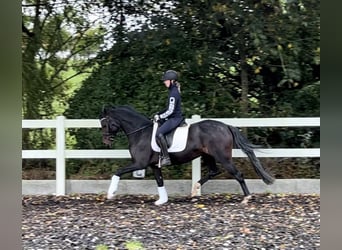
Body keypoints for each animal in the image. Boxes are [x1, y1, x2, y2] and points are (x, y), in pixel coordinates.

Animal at [99, 104, 276, 204]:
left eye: (105, 123)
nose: (106, 141)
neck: (140, 132)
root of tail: (225, 126)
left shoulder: (139, 163)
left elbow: (118, 172)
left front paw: (110, 194)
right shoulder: (153, 165)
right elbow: (159, 181)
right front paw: (162, 200)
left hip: (223, 157)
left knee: (237, 174)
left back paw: (246, 198)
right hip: (208, 155)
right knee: (213, 171)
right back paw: (194, 190)